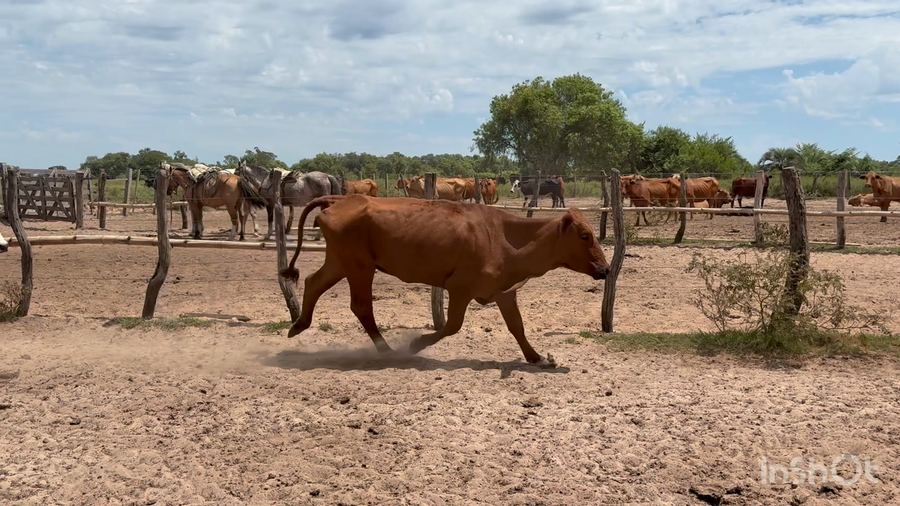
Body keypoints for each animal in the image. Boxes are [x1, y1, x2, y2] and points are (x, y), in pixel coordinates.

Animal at [280, 195, 608, 366]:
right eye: (584, 235)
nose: (605, 270)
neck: (504, 238)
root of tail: (340, 198)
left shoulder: (504, 293)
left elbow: (517, 327)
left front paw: (537, 357)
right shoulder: (460, 288)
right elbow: (452, 326)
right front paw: (415, 344)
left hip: (340, 262)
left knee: (313, 282)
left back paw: (298, 325)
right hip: (360, 266)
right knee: (361, 306)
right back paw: (387, 352)